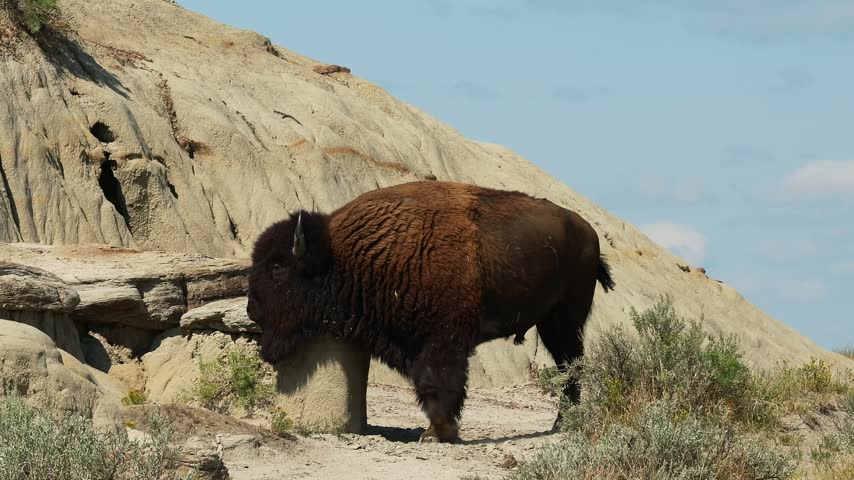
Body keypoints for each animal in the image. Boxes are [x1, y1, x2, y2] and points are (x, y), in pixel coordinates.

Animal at [247, 181, 615, 443]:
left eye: (277, 268)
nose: (252, 309)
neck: (343, 255)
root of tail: (589, 232)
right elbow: (428, 384)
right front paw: (437, 432)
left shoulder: (444, 342)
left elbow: (437, 383)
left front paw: (438, 434)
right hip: (552, 323)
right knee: (569, 366)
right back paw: (560, 423)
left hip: (566, 320)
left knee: (573, 364)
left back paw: (563, 423)